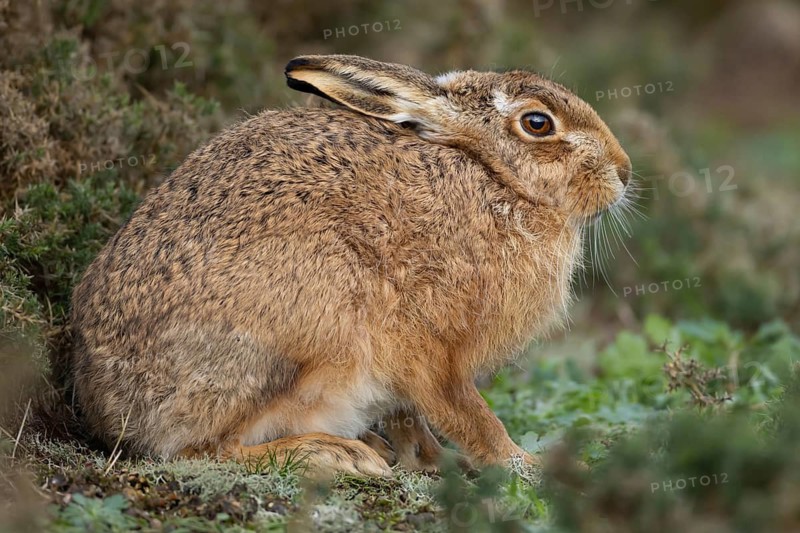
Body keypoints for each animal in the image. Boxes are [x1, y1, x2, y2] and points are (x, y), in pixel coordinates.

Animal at [70, 54, 632, 477]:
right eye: (538, 123)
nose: (623, 172)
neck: (497, 181)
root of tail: (107, 404)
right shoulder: (431, 348)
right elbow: (469, 415)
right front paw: (527, 466)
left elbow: (414, 420)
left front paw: (431, 461)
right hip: (299, 330)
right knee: (200, 450)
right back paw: (334, 453)